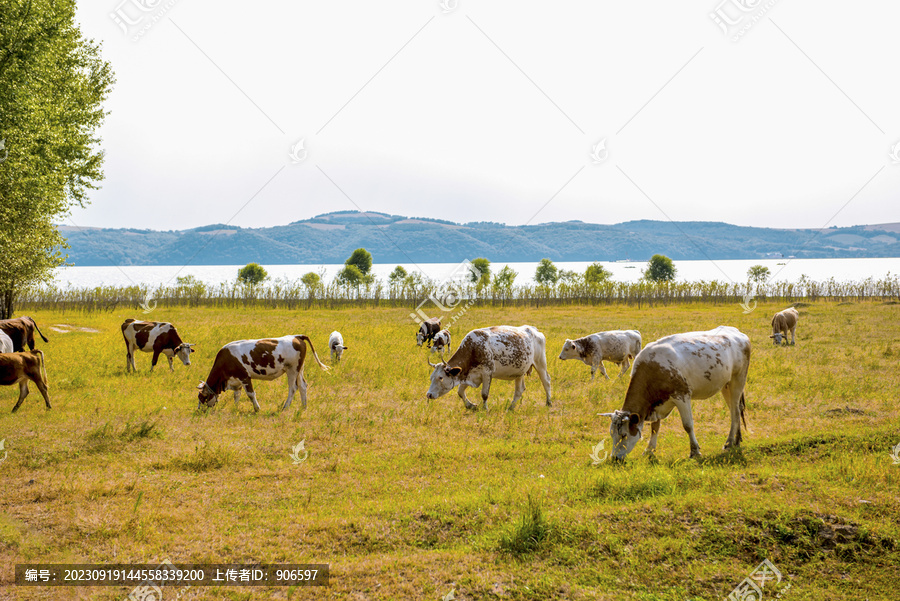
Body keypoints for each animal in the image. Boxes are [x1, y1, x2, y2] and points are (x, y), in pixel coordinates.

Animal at [199, 332, 332, 412]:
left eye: (203, 397)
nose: (200, 411)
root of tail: (297, 336)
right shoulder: (236, 380)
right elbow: (237, 395)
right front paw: (235, 407)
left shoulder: (245, 377)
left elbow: (251, 394)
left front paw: (257, 408)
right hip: (299, 369)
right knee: (303, 386)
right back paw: (304, 407)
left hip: (292, 370)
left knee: (293, 388)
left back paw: (285, 407)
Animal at [600, 324, 748, 460]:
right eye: (611, 434)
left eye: (624, 435)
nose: (614, 458)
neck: (653, 367)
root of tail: (736, 332)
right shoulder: (656, 405)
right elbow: (655, 426)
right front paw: (649, 450)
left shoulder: (682, 396)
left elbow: (688, 425)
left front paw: (695, 451)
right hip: (726, 385)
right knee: (734, 410)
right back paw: (737, 440)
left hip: (738, 380)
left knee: (735, 412)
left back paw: (729, 442)